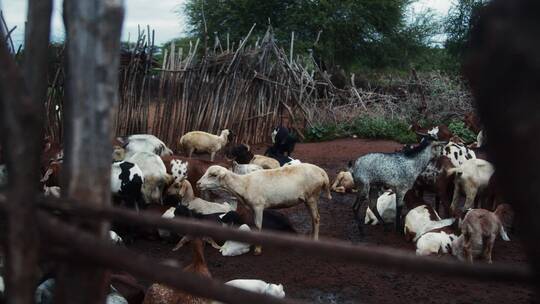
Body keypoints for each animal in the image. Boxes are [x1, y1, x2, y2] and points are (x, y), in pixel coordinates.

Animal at [196, 164, 332, 254]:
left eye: (213, 175)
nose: (198, 183)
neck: (244, 184)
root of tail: (322, 172)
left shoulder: (258, 206)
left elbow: (258, 226)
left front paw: (257, 249)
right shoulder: (252, 207)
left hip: (312, 197)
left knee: (316, 218)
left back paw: (315, 240)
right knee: (314, 218)